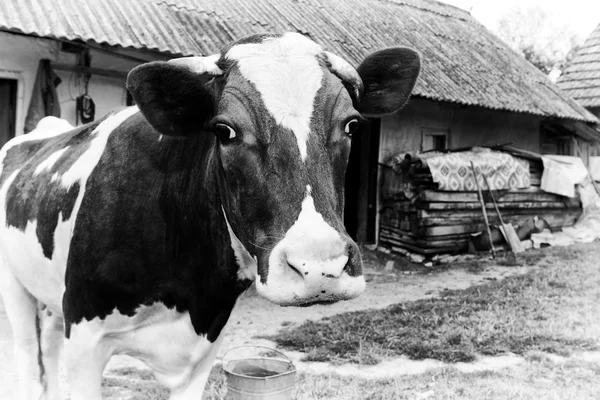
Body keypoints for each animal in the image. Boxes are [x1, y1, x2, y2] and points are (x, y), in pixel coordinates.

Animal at [0, 32, 420, 398]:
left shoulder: (205, 347)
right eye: (225, 130)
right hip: (16, 287)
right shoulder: (85, 338)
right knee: (29, 355)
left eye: (351, 125)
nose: (319, 268)